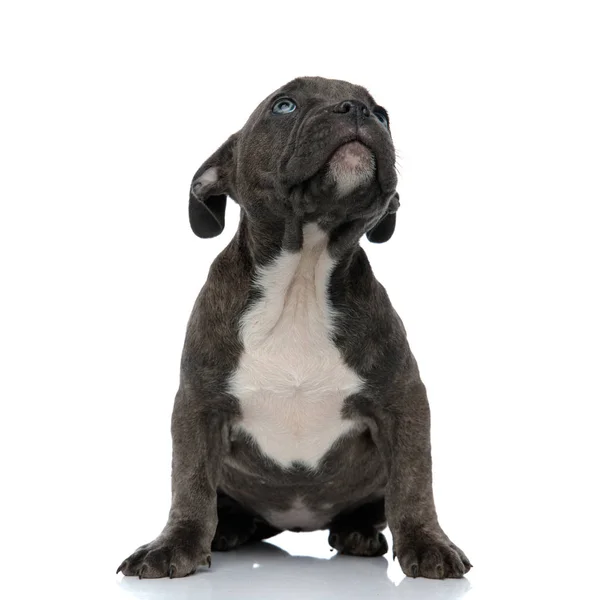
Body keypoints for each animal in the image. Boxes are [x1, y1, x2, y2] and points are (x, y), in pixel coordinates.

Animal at [117, 75, 472, 576]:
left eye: (383, 114)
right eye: (284, 106)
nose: (358, 110)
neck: (303, 272)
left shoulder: (403, 400)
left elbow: (414, 481)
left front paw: (427, 543)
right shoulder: (198, 405)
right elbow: (190, 482)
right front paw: (175, 544)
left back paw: (356, 532)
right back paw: (227, 531)